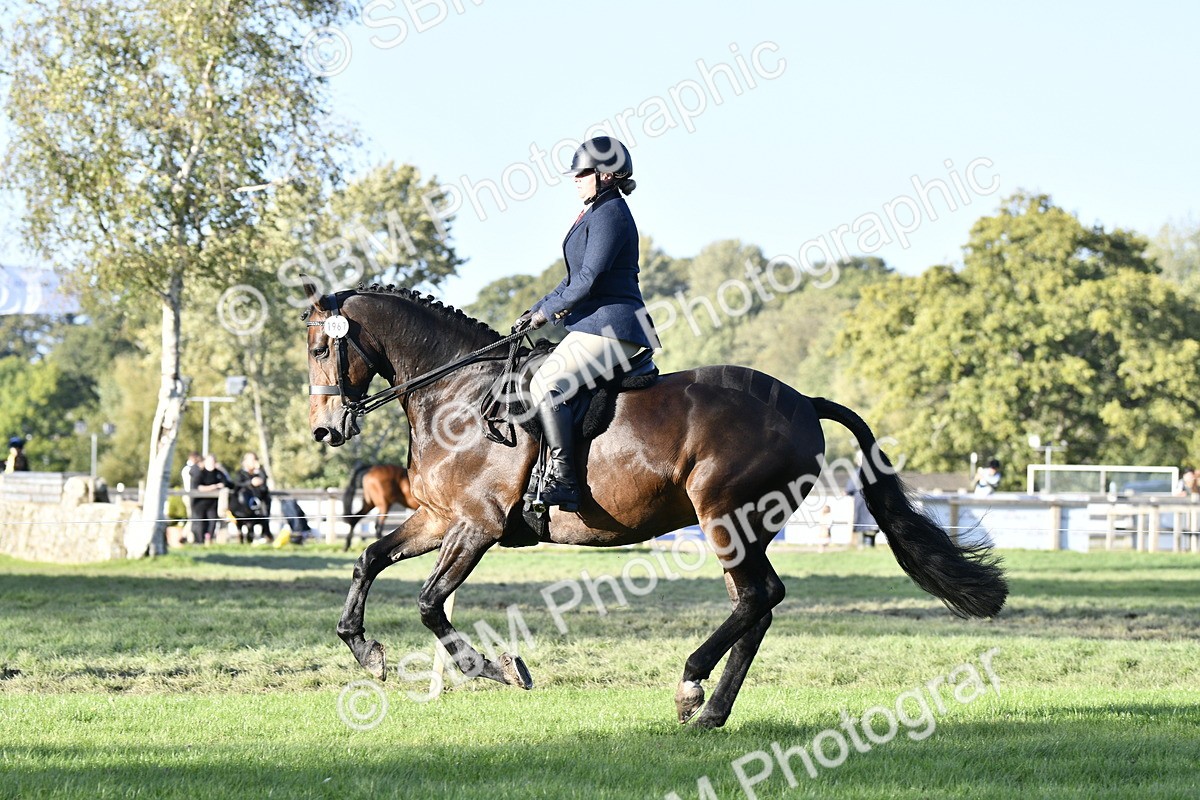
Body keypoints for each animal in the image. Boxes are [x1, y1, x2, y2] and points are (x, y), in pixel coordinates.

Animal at [304, 282, 1008, 728]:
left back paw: (691, 686)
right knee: (757, 605)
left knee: (759, 597)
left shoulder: (476, 525)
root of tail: (804, 402)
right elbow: (369, 559)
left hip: (725, 515)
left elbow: (429, 603)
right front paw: (365, 651)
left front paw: (499, 669)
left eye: (320, 348)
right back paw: (712, 711)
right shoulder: (438, 518)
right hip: (742, 528)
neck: (457, 393)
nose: (325, 430)